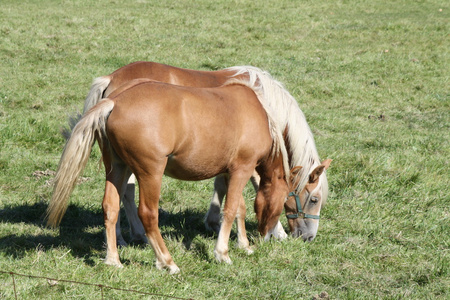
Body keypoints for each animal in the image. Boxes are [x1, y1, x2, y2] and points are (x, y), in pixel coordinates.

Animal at [48, 78, 296, 274]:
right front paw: (222, 253)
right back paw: (167, 262)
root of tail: (115, 101)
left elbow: (239, 209)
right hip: (150, 173)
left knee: (110, 207)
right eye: (287, 201)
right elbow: (230, 209)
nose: (267, 234)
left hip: (117, 168)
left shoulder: (229, 172)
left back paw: (113, 260)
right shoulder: (241, 170)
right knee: (148, 214)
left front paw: (244, 245)